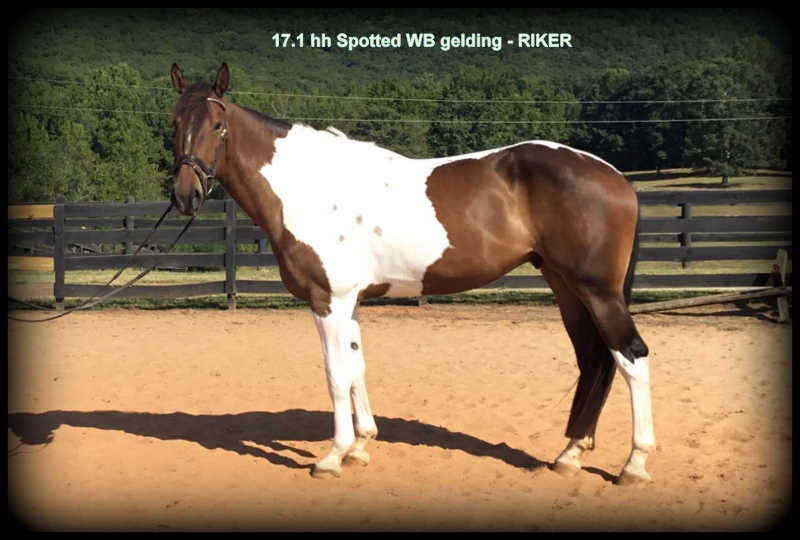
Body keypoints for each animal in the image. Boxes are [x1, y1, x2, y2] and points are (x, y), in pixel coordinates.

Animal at [168, 62, 654, 485]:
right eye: (174, 123)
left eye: (218, 124)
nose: (186, 196)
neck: (311, 189)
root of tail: (616, 177)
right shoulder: (351, 302)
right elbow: (357, 366)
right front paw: (360, 446)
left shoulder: (328, 300)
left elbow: (335, 373)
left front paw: (332, 456)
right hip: (566, 287)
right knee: (593, 359)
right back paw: (570, 454)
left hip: (597, 291)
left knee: (631, 356)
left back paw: (634, 464)